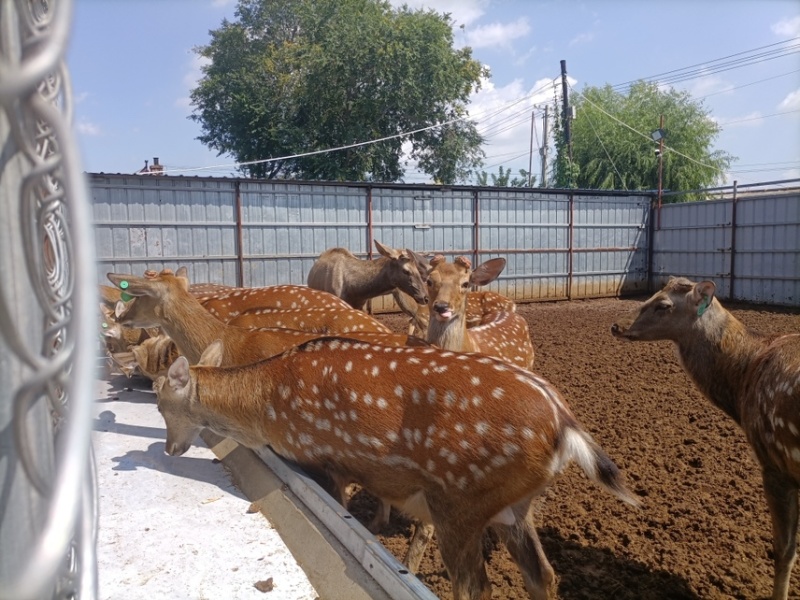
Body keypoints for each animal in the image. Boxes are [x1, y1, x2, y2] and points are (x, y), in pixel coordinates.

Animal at [154, 337, 638, 600]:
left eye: (161, 405)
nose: (170, 449)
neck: (266, 407)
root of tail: (565, 423)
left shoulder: (324, 461)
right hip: (514, 507)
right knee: (543, 576)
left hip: (460, 497)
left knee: (474, 586)